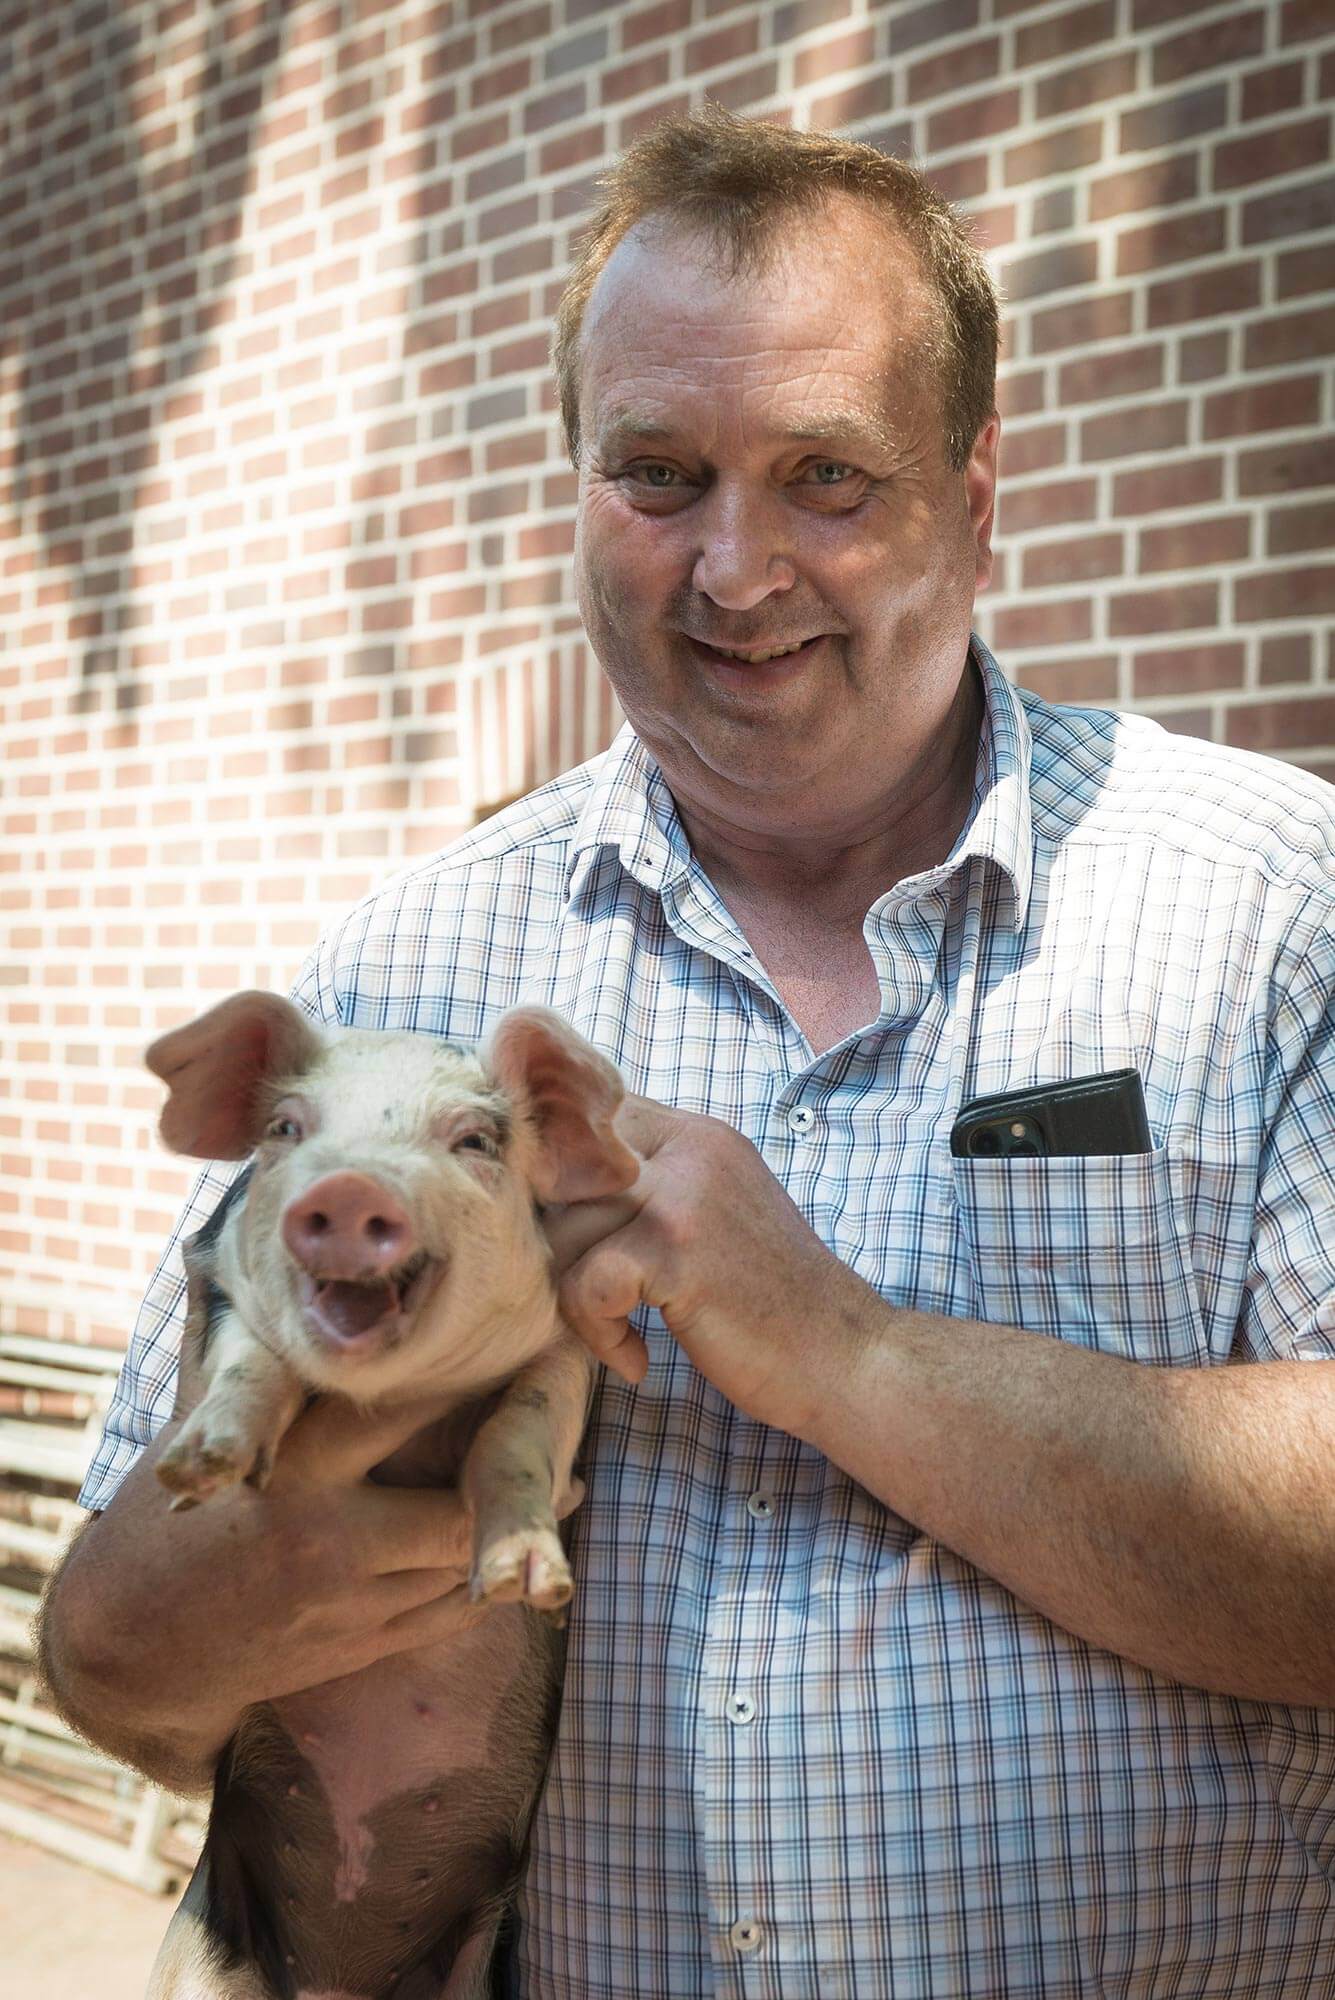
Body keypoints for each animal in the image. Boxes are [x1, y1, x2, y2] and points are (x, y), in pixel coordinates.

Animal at [139, 990, 638, 2000]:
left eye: (475, 1140)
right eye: (286, 1130)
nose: (346, 1191)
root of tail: (337, 1979)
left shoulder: (565, 1344)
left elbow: (517, 1436)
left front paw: (526, 1581)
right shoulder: (222, 1281)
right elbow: (253, 1364)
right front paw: (198, 1472)